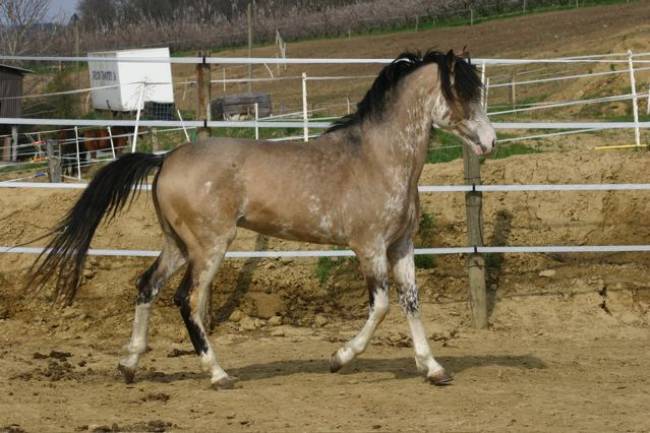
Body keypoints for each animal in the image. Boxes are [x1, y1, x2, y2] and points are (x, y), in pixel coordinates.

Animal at [30, 49, 494, 388]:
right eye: (462, 94)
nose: (489, 142)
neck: (378, 159)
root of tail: (165, 159)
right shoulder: (369, 248)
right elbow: (380, 307)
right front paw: (338, 359)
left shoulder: (401, 245)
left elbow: (412, 302)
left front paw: (433, 369)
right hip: (210, 246)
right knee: (188, 300)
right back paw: (218, 374)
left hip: (178, 244)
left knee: (147, 287)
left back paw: (129, 365)